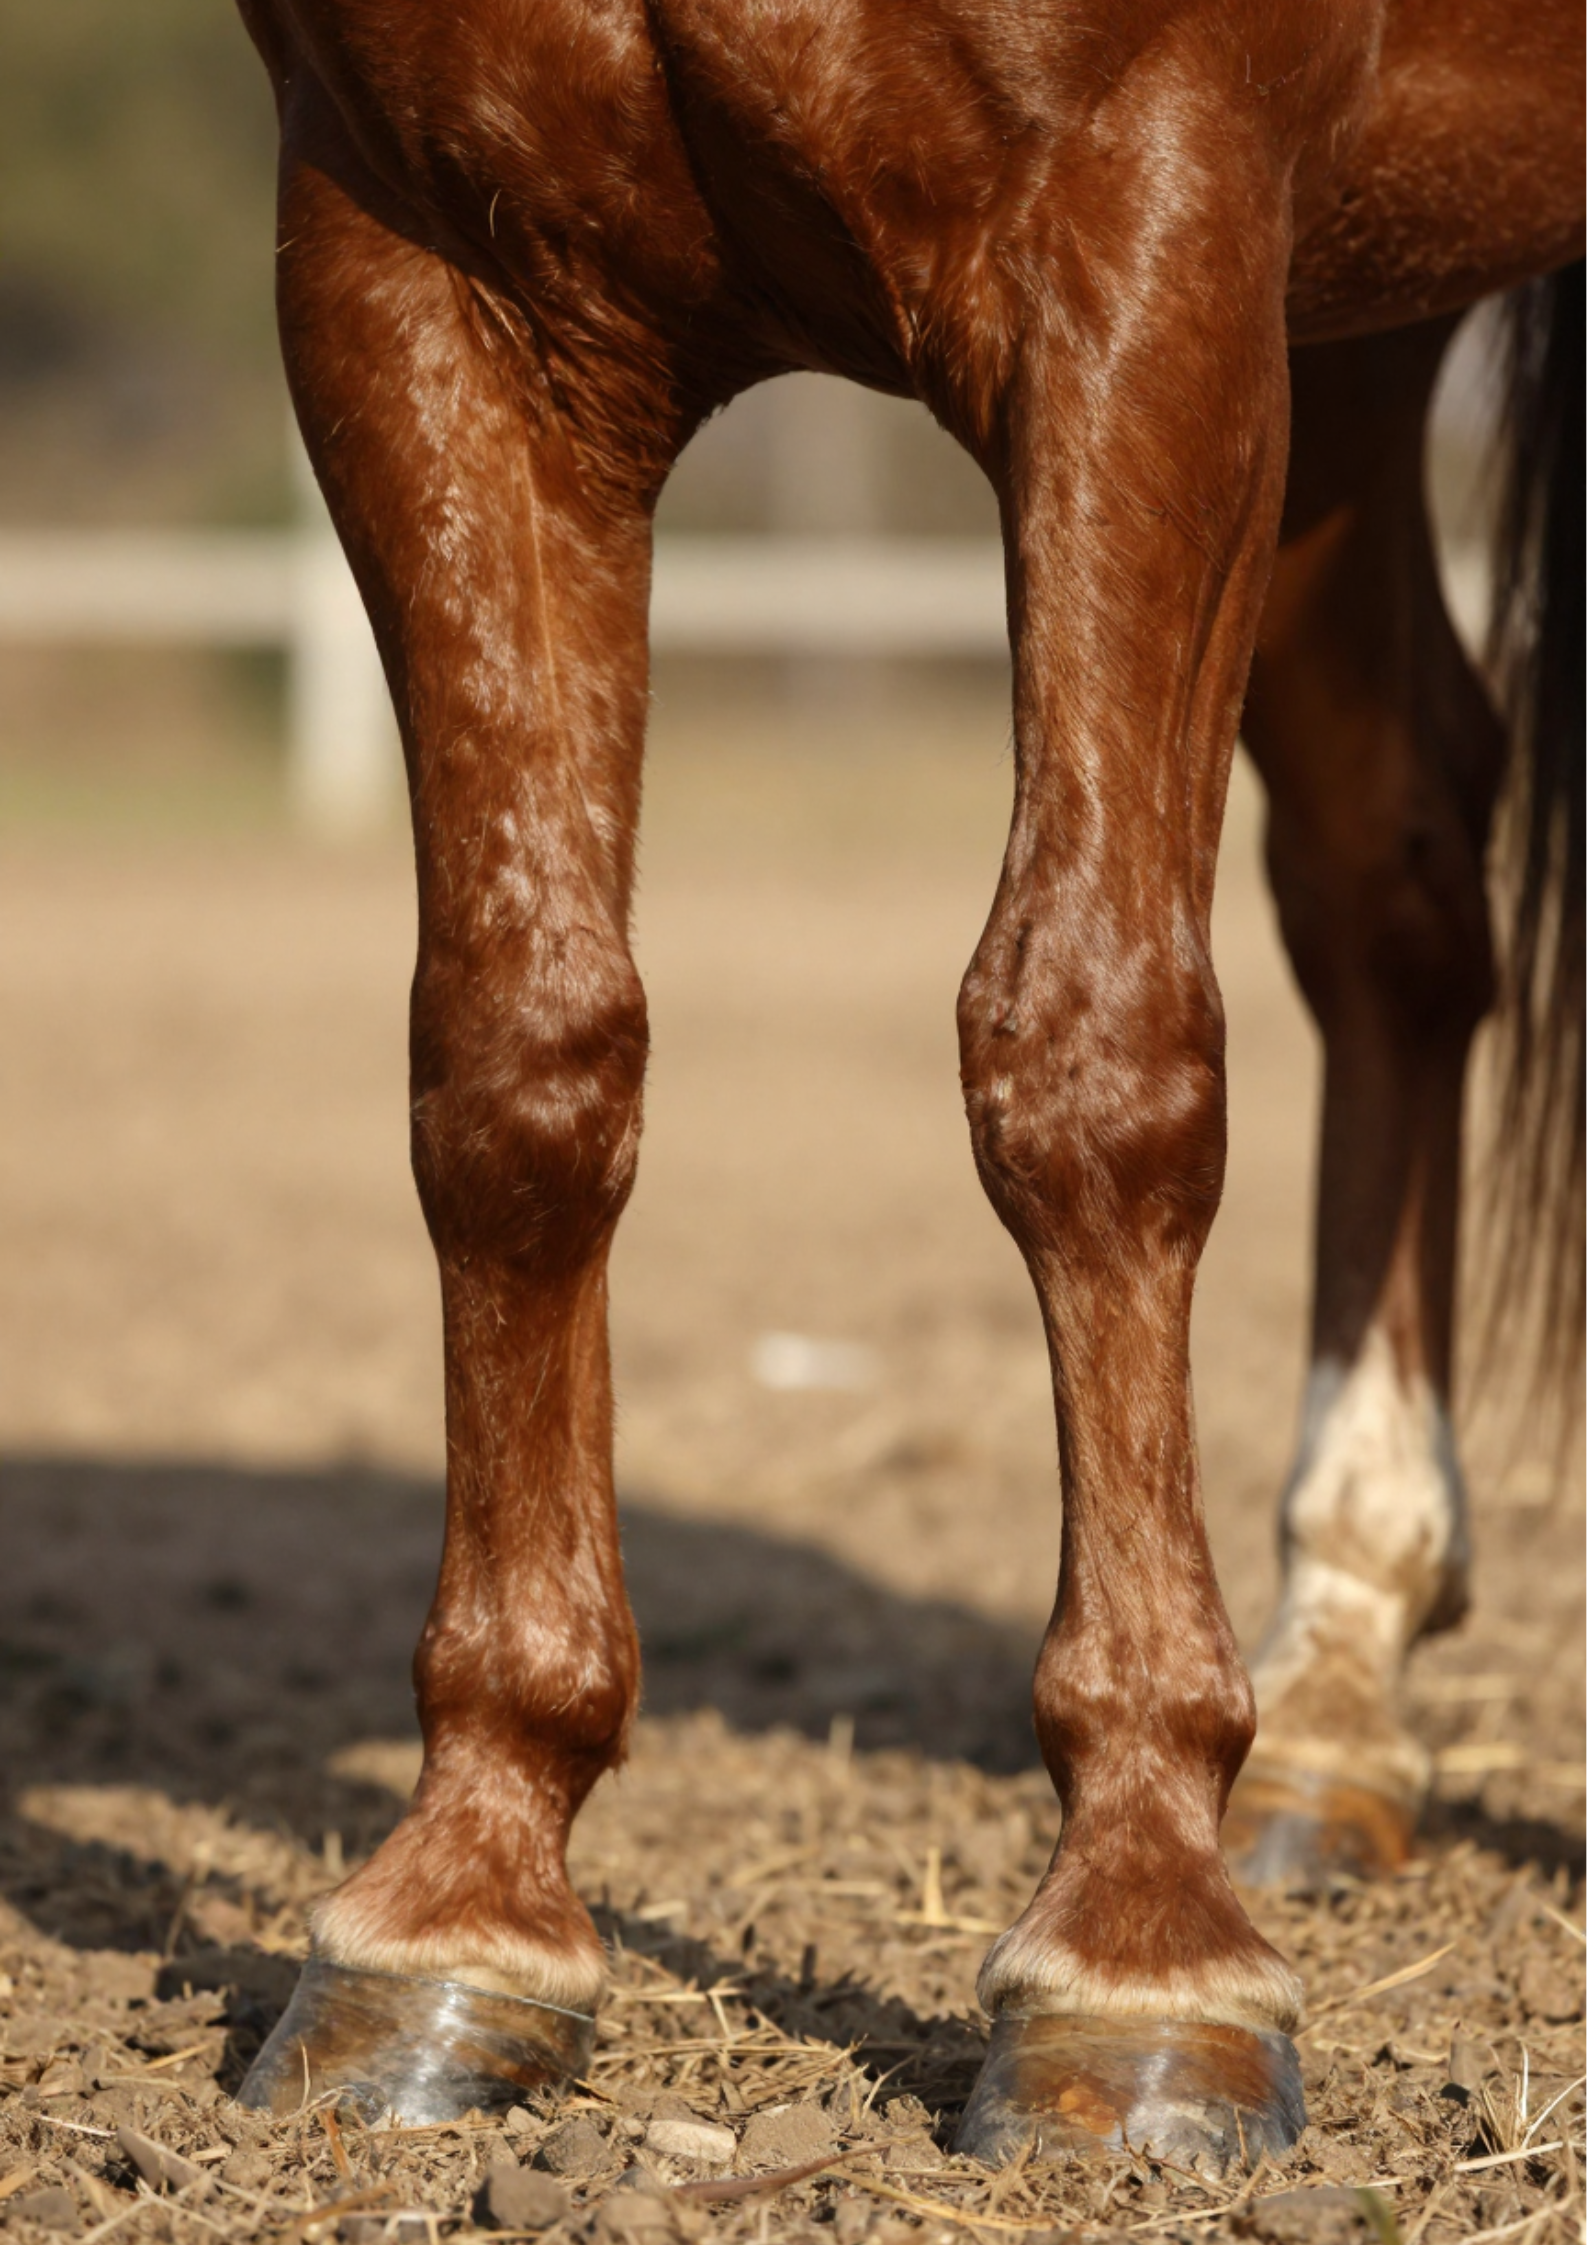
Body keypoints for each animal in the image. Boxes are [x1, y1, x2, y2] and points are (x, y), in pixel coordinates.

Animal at [229, 0, 1583, 2170]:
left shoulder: (1144, 227)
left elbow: (1088, 1056)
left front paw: (1135, 1952)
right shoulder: (420, 266)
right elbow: (517, 1063)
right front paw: (460, 1904)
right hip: (1363, 330)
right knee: (1392, 869)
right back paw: (1334, 1684)